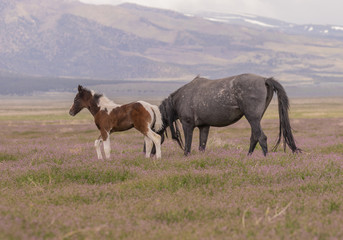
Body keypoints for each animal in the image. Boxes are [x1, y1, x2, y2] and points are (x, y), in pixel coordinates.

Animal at [158, 73, 300, 156]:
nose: (152, 154)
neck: (178, 100)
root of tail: (265, 80)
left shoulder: (187, 125)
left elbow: (187, 147)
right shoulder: (204, 126)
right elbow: (202, 146)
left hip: (252, 118)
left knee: (261, 138)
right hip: (256, 119)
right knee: (254, 137)